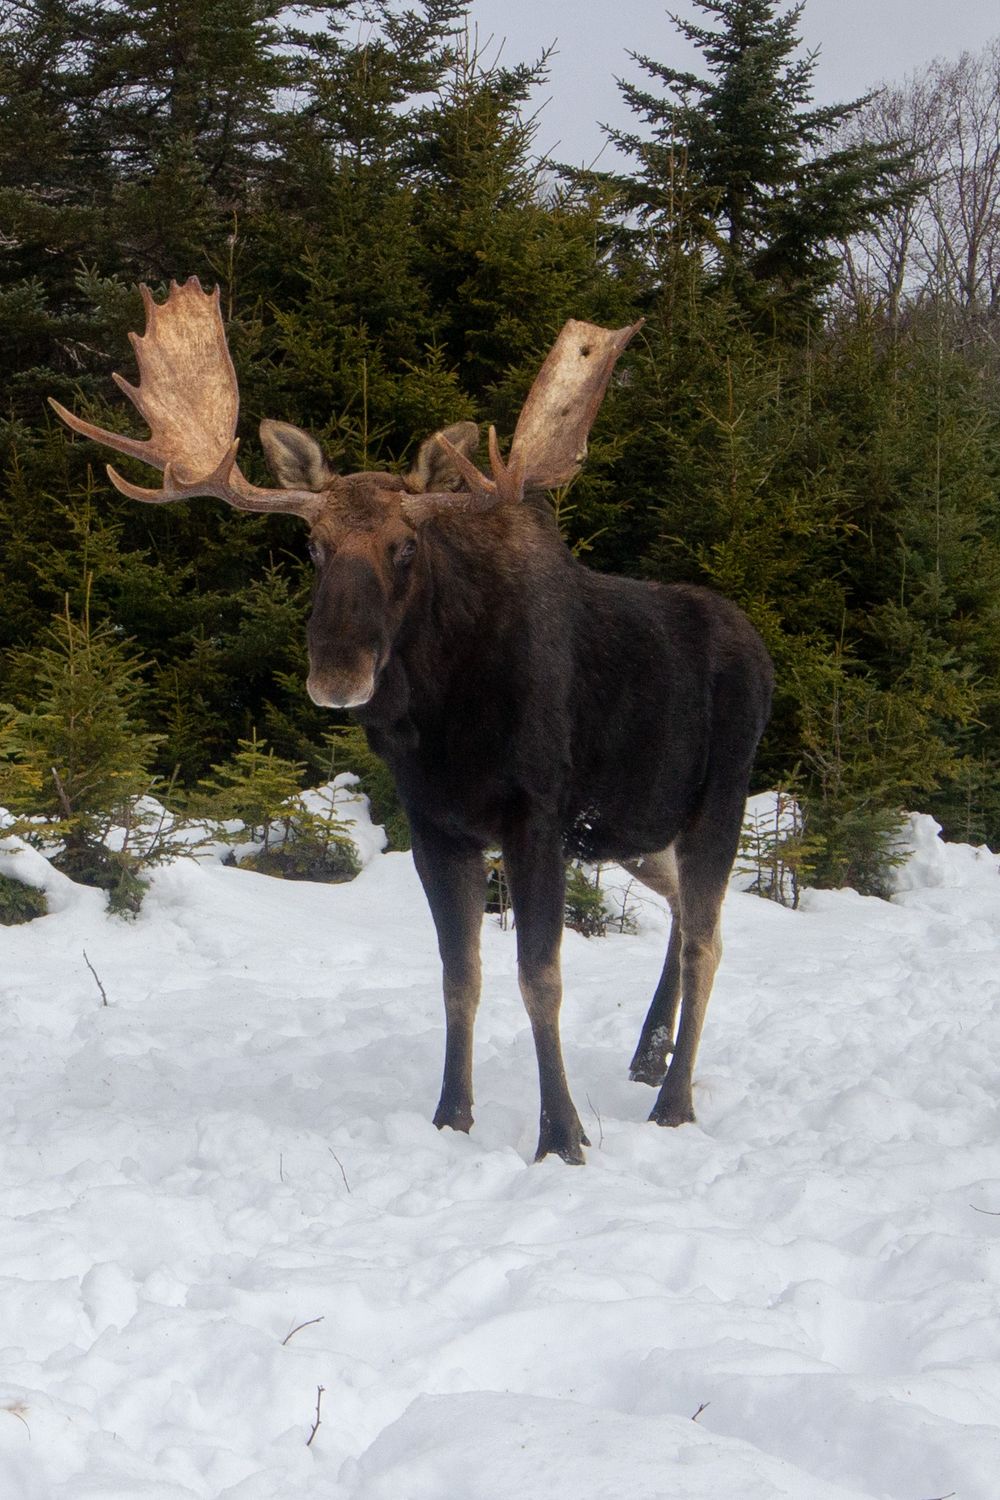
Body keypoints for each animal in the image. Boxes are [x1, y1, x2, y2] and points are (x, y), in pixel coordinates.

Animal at [51, 277, 774, 1164]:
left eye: (404, 546)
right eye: (313, 545)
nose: (337, 671)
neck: (443, 726)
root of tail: (763, 654)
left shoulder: (536, 814)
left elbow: (540, 977)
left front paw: (562, 1135)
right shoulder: (436, 822)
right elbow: (458, 975)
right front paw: (450, 1115)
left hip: (721, 798)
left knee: (709, 937)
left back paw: (674, 1099)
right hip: (635, 828)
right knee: (683, 912)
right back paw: (647, 1055)